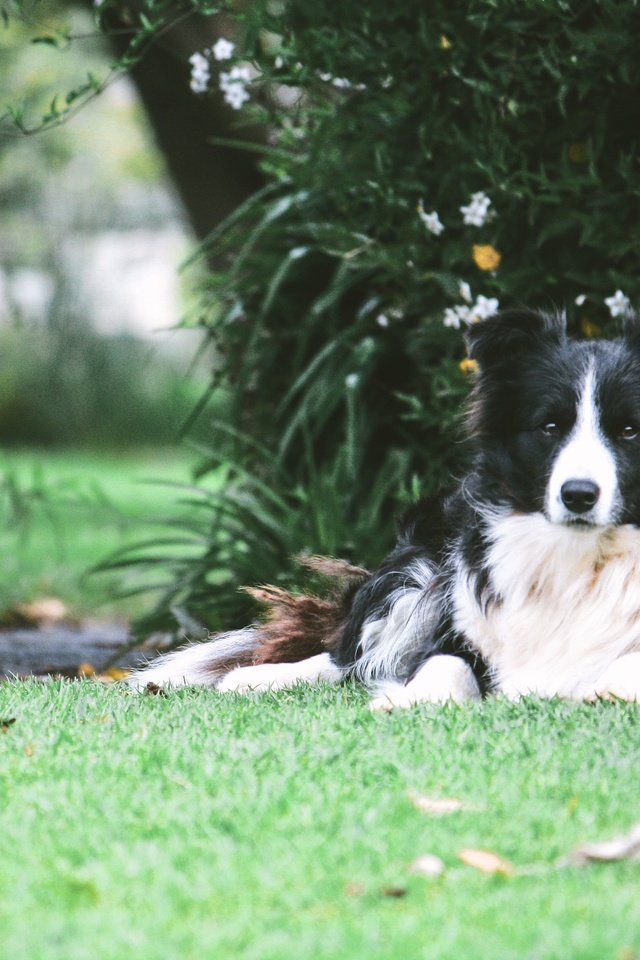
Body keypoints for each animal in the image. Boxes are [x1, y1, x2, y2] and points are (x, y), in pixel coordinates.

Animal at [127, 312, 640, 708]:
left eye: (630, 430)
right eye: (550, 426)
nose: (578, 495)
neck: (583, 557)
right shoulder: (458, 624)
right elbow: (443, 661)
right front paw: (414, 699)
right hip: (418, 569)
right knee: (349, 660)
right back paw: (255, 677)